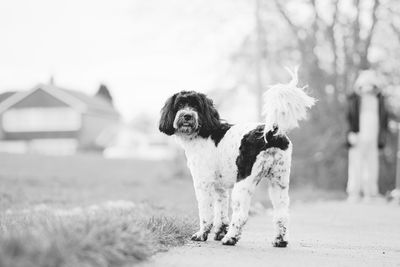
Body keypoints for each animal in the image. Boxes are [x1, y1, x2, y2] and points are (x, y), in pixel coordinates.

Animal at [158, 68, 314, 247]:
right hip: (279, 183)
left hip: (244, 184)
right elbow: (221, 212)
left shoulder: (203, 183)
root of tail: (271, 132)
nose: (187, 116)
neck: (202, 131)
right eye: (179, 105)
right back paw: (280, 240)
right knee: (281, 213)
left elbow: (206, 213)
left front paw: (202, 234)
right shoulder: (220, 188)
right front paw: (219, 232)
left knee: (241, 215)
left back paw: (230, 238)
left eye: (196, 105)